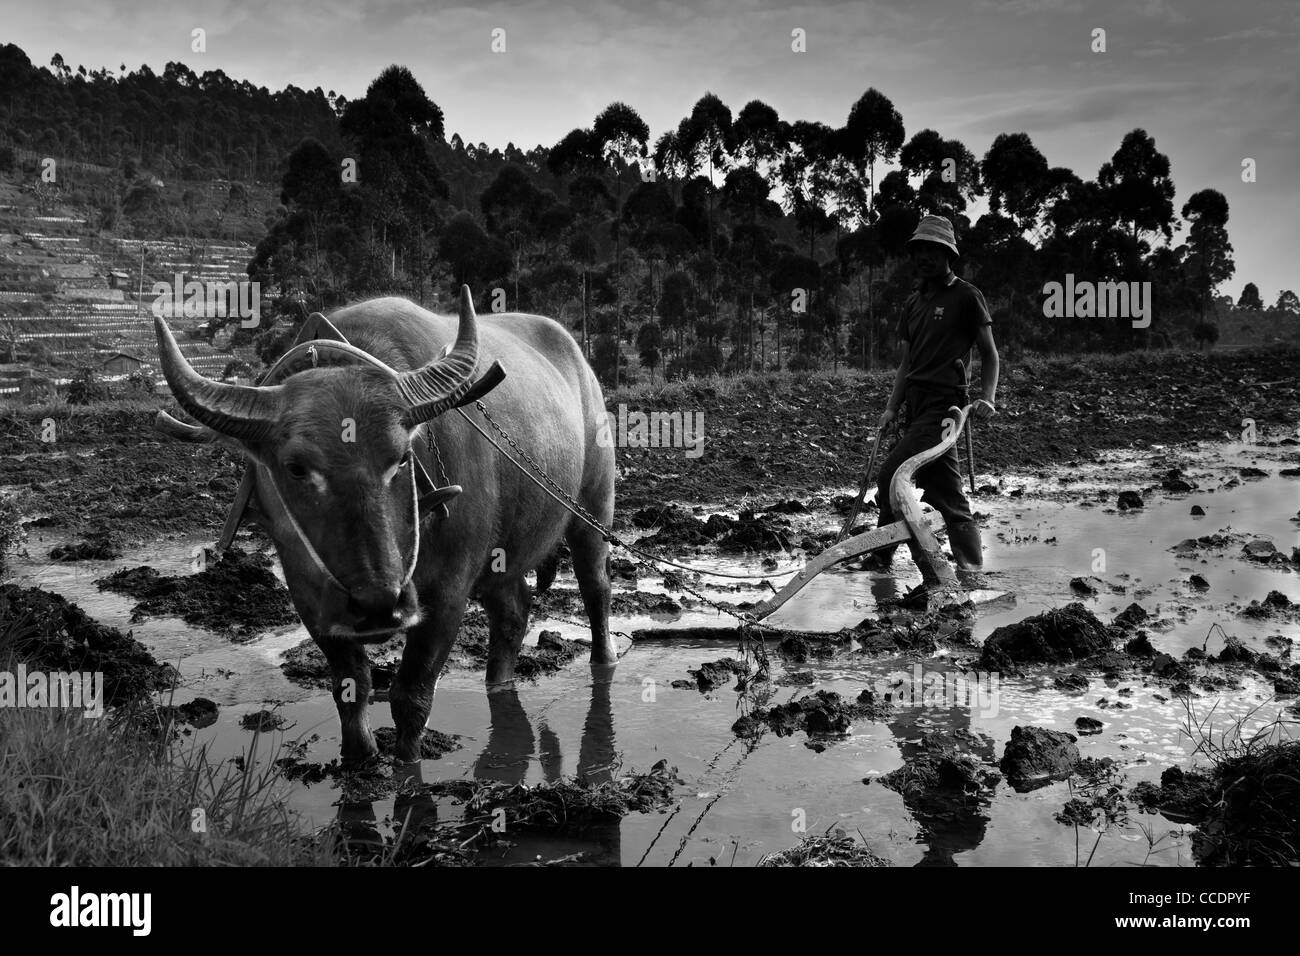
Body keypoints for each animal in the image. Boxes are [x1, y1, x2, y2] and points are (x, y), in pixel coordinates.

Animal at [154, 286, 616, 764]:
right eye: (296, 468)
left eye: (401, 457)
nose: (378, 604)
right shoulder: (310, 597)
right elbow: (351, 687)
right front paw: (359, 759)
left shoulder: (446, 594)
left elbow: (411, 695)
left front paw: (406, 765)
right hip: (504, 554)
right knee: (513, 611)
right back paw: (499, 683)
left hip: (593, 508)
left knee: (596, 588)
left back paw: (604, 660)